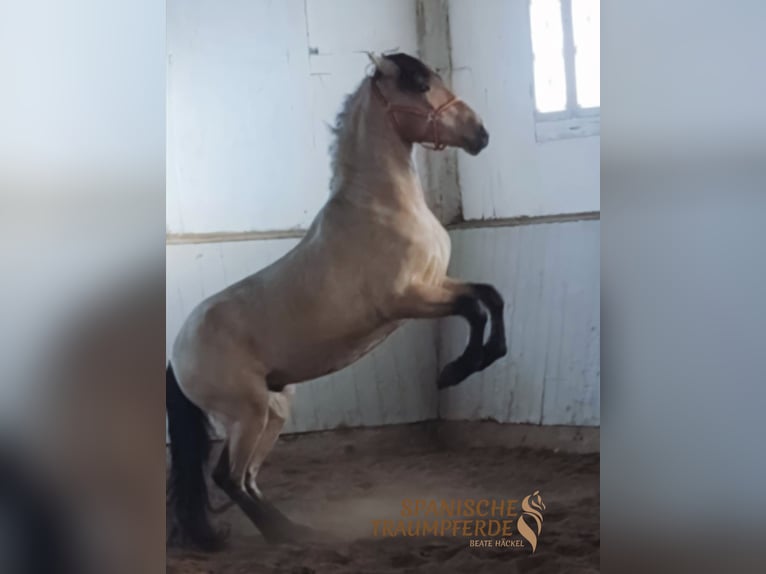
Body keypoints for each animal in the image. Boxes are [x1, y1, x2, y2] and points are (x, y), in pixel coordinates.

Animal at [166, 52, 507, 550]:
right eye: (421, 84)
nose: (480, 134)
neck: (382, 209)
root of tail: (176, 354)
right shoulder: (407, 301)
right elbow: (472, 309)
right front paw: (454, 372)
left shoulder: (436, 284)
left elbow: (489, 297)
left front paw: (484, 358)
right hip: (245, 414)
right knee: (227, 477)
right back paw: (287, 535)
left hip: (273, 412)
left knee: (246, 478)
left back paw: (296, 530)